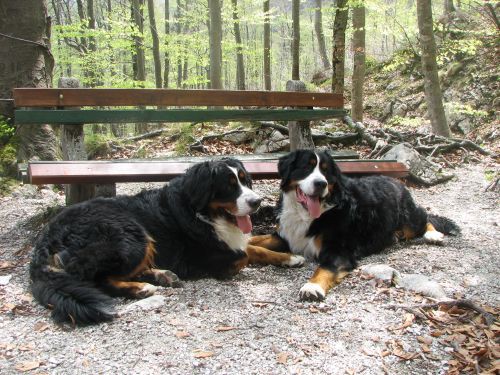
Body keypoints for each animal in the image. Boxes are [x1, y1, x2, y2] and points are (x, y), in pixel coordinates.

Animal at [31, 157, 306, 324]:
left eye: (245, 180)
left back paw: (161, 275)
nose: (256, 202)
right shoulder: (204, 260)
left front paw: (288, 256)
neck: (202, 213)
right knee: (96, 279)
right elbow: (246, 254)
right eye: (229, 186)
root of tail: (47, 234)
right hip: (130, 235)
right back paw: (143, 288)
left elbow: (256, 245)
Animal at [252, 151, 458, 302]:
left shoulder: (338, 251)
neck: (304, 215)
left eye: (326, 171)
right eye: (306, 167)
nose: (321, 183)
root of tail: (396, 181)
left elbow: (324, 268)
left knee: (425, 217)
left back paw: (433, 235)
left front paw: (312, 286)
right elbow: (258, 239)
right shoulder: (285, 237)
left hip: (408, 217)